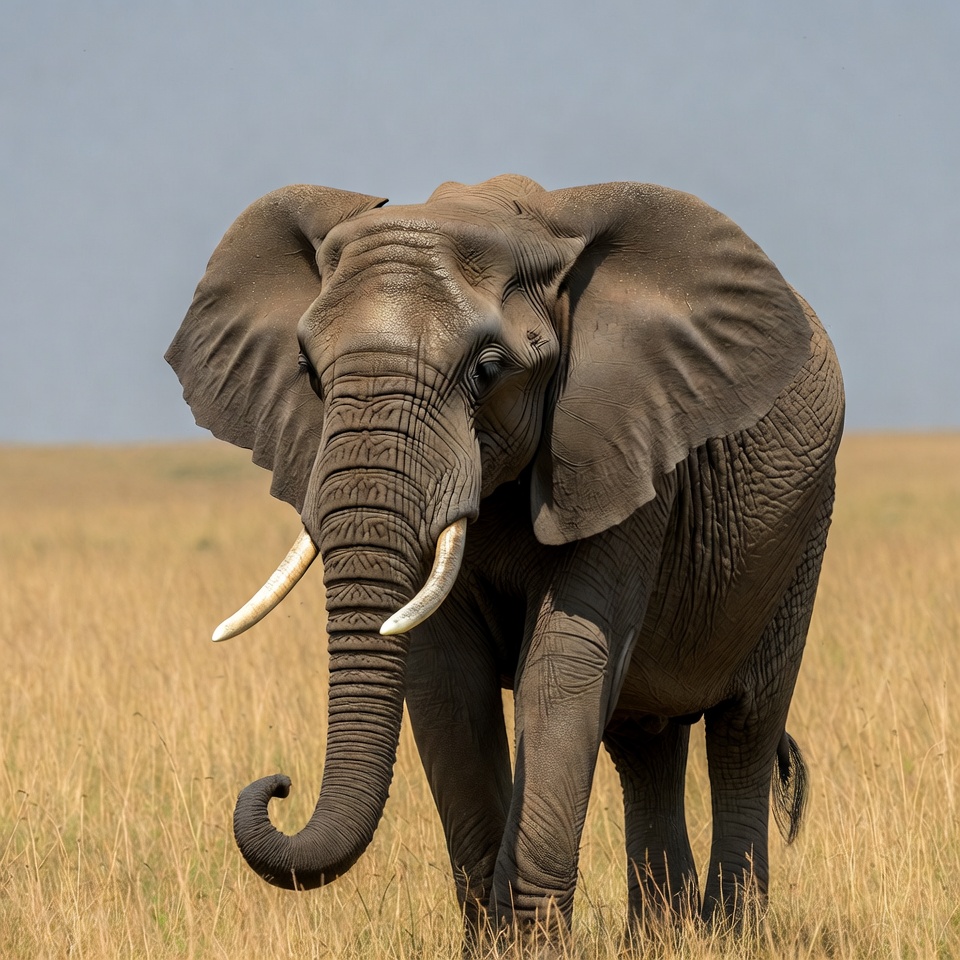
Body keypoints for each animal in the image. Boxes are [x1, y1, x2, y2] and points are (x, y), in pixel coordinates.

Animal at [166, 174, 843, 947]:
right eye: (307, 370)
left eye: (489, 372)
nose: (277, 785)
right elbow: (445, 683)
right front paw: (492, 944)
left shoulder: (617, 450)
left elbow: (563, 667)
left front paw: (529, 946)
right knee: (646, 742)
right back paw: (661, 940)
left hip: (802, 533)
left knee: (744, 732)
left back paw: (729, 937)